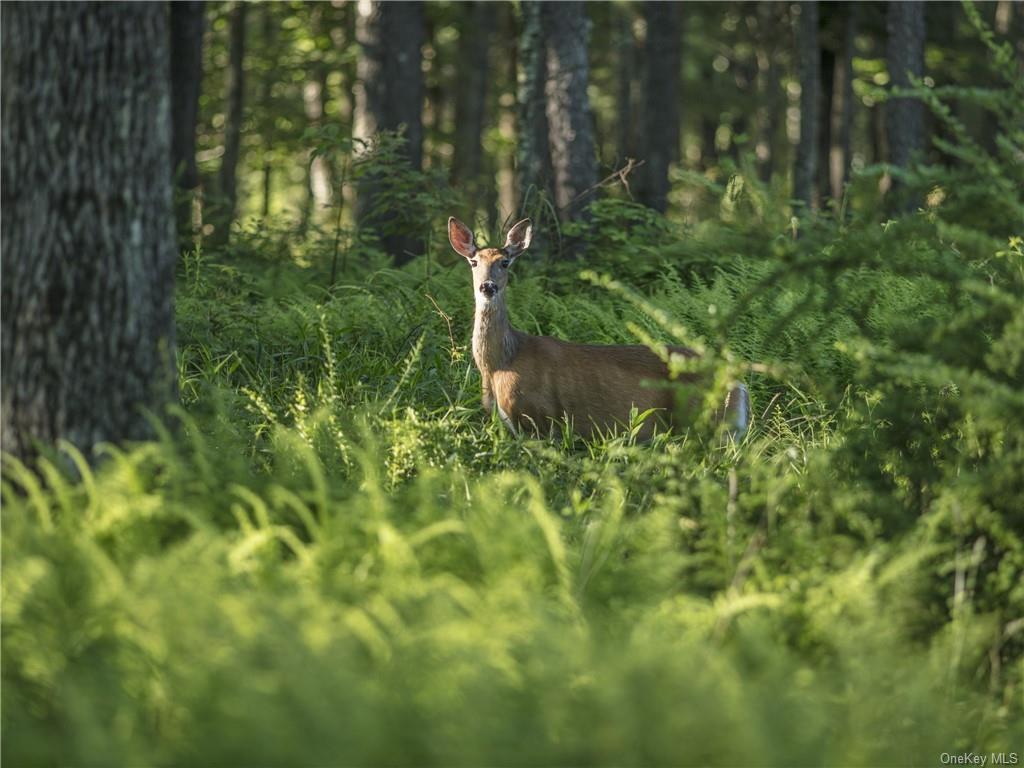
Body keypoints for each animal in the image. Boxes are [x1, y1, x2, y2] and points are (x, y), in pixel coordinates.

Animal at [452, 219, 749, 442]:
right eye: (474, 262)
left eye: (505, 262)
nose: (487, 287)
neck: (500, 364)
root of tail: (739, 384)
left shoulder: (540, 419)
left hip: (710, 424)